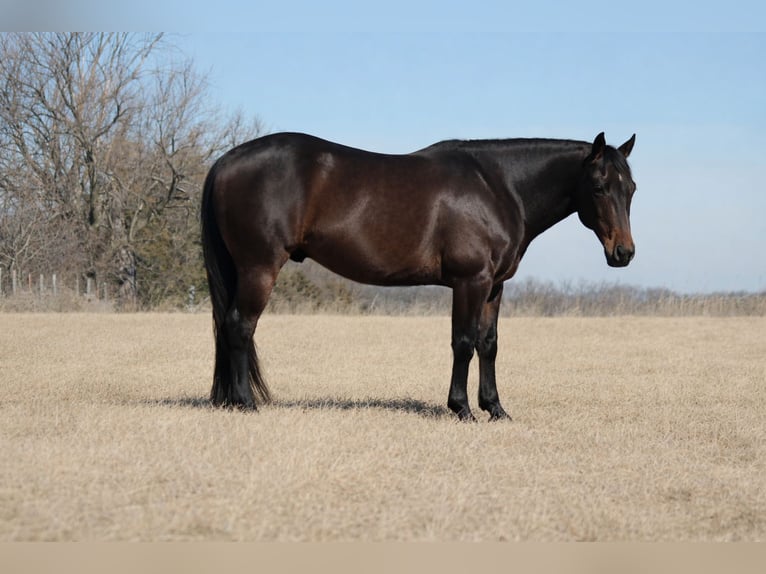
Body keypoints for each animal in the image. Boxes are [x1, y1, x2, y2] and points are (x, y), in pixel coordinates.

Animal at [201, 131, 637, 421]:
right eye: (599, 186)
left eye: (631, 187)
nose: (624, 253)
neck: (498, 187)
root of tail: (225, 161)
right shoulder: (470, 281)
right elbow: (463, 342)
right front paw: (462, 409)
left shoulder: (494, 286)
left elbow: (489, 344)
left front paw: (495, 409)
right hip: (259, 268)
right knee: (240, 326)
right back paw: (244, 403)